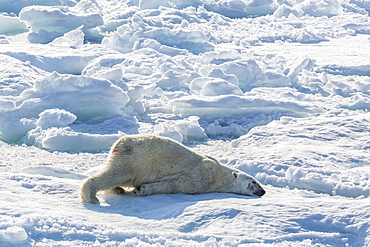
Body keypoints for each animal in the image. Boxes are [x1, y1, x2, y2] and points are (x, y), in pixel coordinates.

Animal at [81, 135, 266, 203]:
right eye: (254, 182)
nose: (263, 191)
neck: (218, 174)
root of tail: (118, 144)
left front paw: (139, 189)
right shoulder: (200, 176)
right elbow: (174, 183)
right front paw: (140, 190)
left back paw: (118, 189)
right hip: (135, 160)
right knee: (114, 175)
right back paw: (92, 197)